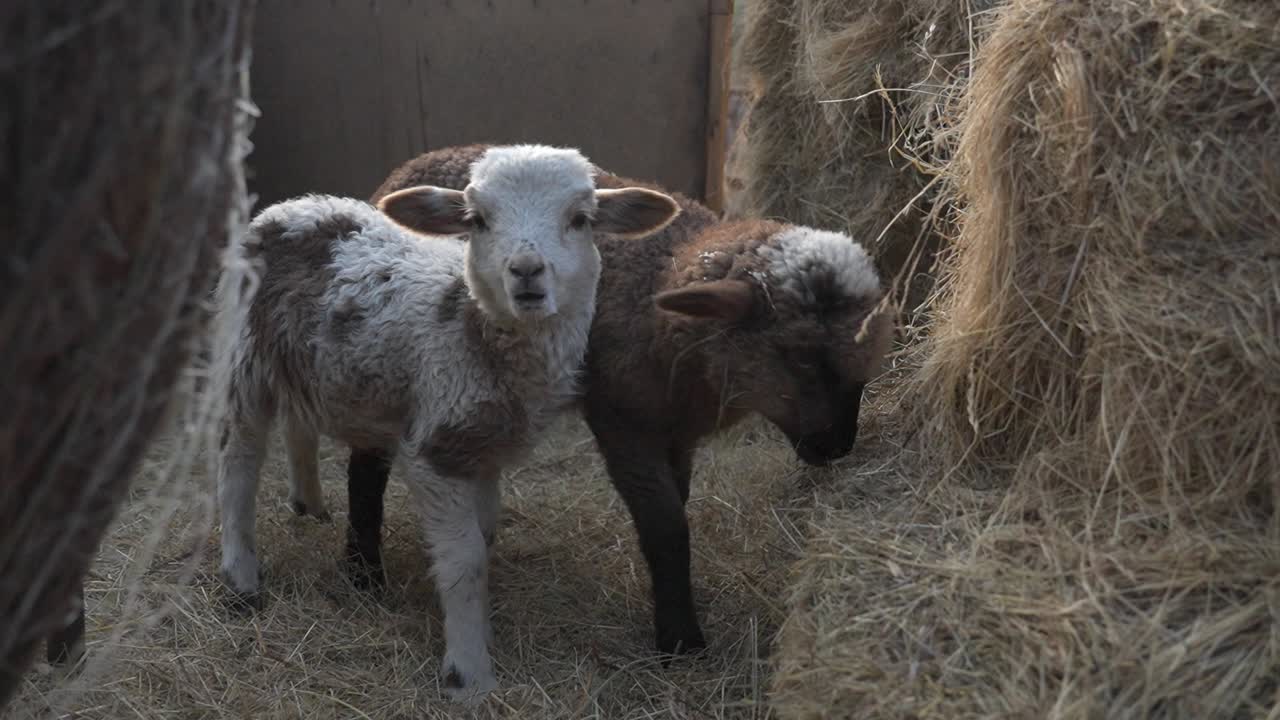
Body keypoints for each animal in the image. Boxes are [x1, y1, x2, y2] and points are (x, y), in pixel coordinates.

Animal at [213, 144, 680, 700]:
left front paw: (480, 629)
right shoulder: (436, 448)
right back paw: (240, 577)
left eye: (580, 219)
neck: (471, 326)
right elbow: (465, 559)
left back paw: (309, 502)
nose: (526, 270)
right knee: (238, 462)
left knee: (296, 424)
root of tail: (288, 208)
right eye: (477, 220)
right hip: (243, 356)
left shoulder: (485, 447)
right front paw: (469, 673)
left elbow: (486, 535)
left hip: (306, 362)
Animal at [342, 145, 895, 659]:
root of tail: (416, 163)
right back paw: (363, 574)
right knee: (366, 466)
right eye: (796, 355)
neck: (660, 282)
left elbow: (678, 504)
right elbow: (666, 528)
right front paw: (680, 639)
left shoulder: (677, 432)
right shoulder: (625, 425)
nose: (838, 446)